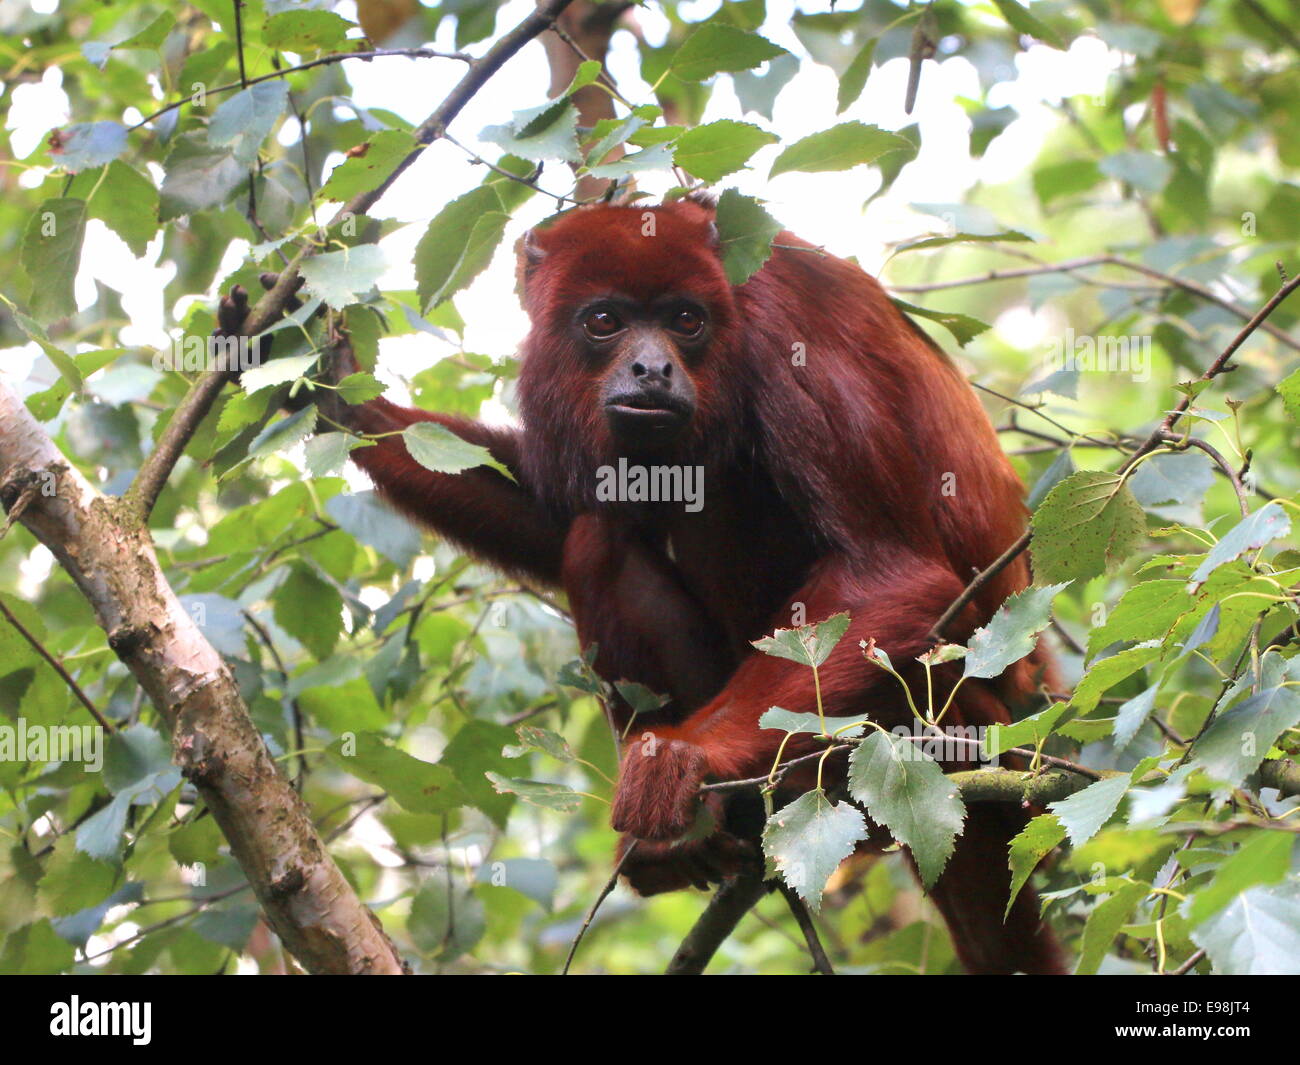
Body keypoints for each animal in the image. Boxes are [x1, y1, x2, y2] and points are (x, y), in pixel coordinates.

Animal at [223, 197, 1066, 972]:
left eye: (686, 320)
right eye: (604, 320)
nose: (653, 368)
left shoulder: (785, 326)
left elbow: (887, 568)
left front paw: (680, 758)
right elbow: (556, 510)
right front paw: (328, 385)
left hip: (950, 715)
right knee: (599, 538)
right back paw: (707, 839)